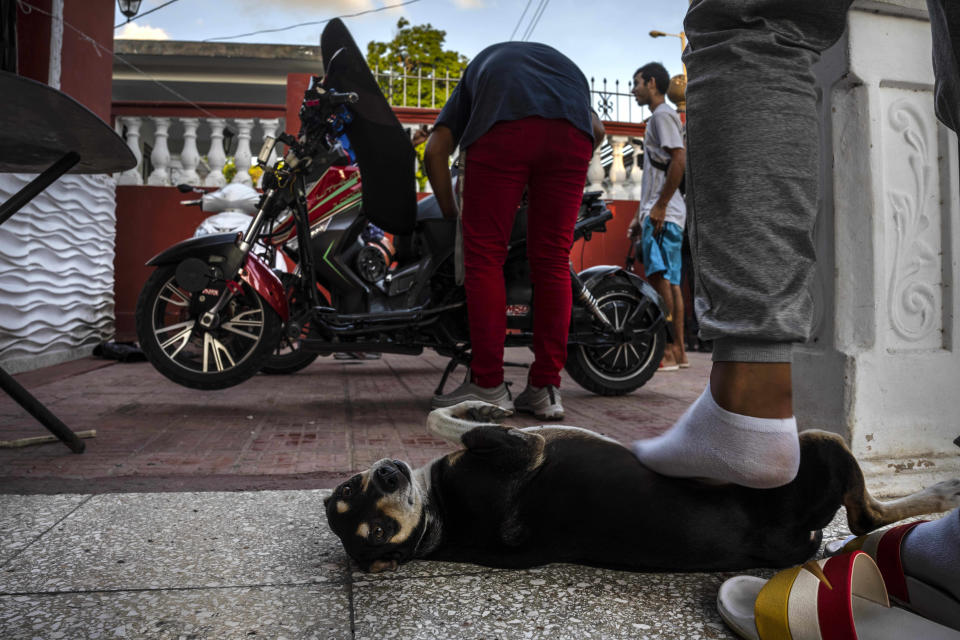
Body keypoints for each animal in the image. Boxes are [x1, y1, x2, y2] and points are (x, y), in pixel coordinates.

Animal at [324, 402, 960, 572]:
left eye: (351, 487)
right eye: (378, 530)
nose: (387, 473)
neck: (440, 521)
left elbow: (447, 416)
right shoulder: (526, 447)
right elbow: (444, 418)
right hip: (819, 444)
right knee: (866, 517)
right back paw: (944, 490)